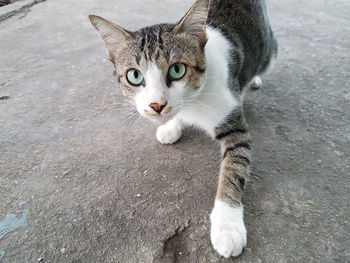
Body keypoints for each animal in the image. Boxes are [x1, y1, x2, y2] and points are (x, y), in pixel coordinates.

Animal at [89, 0, 276, 260]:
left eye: (177, 70)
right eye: (134, 75)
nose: (157, 105)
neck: (193, 100)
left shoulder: (233, 123)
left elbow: (234, 168)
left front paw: (227, 226)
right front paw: (171, 126)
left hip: (268, 49)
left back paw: (255, 79)